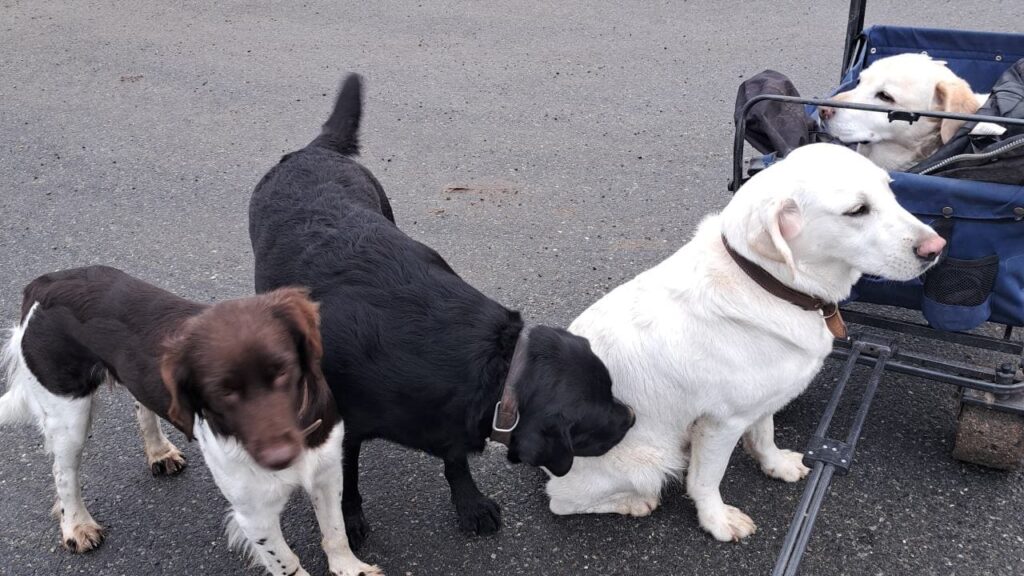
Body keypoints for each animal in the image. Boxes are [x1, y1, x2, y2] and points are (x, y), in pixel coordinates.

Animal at [0, 266, 380, 573]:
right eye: (223, 392)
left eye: (282, 371)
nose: (280, 457)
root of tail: (44, 283)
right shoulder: (254, 513)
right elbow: (286, 561)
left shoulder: (327, 471)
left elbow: (336, 533)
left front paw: (351, 569)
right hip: (68, 413)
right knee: (64, 473)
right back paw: (77, 526)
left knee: (141, 405)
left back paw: (159, 452)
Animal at [548, 142, 946, 537]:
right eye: (857, 210)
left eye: (890, 190)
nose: (937, 247)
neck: (768, 282)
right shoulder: (722, 421)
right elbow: (706, 480)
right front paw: (716, 520)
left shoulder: (763, 401)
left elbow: (765, 435)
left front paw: (776, 464)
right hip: (647, 460)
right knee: (561, 501)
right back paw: (632, 502)